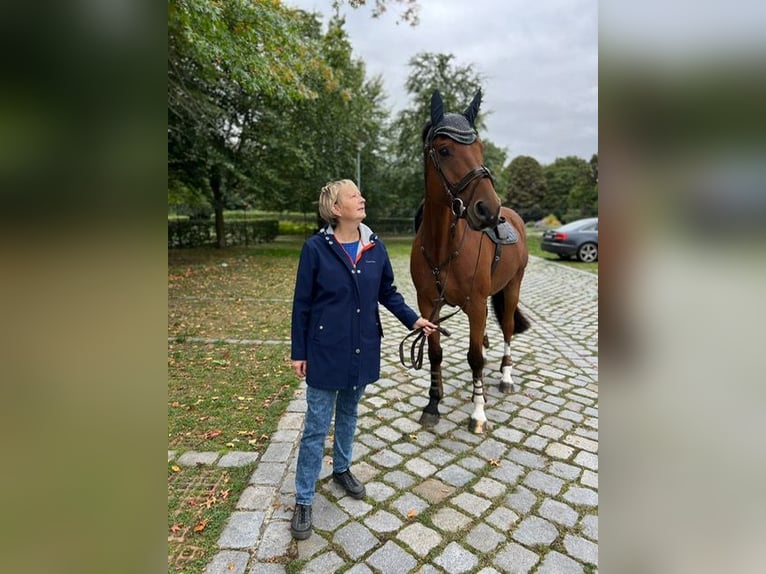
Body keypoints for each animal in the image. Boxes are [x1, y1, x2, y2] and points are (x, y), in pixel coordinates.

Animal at [412, 90, 532, 434]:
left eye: (479, 149)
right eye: (445, 150)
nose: (488, 209)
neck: (443, 247)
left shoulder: (477, 304)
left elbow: (474, 357)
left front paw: (478, 414)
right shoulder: (428, 303)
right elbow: (435, 353)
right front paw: (433, 404)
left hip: (512, 287)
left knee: (506, 330)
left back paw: (505, 377)